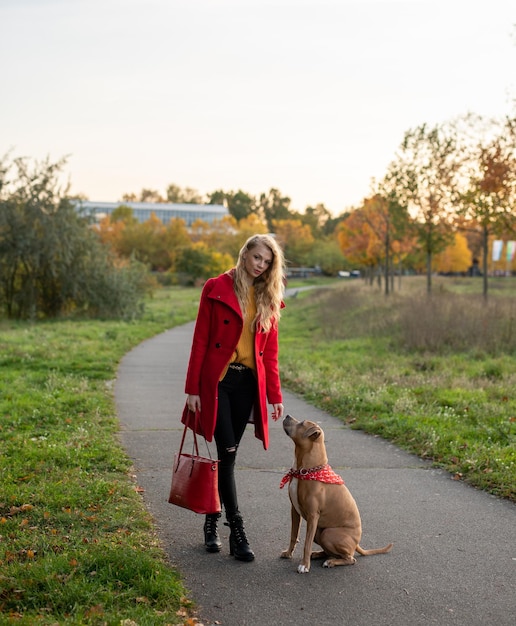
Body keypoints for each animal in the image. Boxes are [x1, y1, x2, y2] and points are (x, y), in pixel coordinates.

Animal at [280, 414, 394, 572]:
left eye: (302, 423)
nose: (287, 415)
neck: (305, 470)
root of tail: (356, 544)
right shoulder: (294, 511)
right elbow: (293, 535)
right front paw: (288, 553)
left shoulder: (313, 516)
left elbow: (306, 544)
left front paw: (304, 565)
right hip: (319, 532)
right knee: (331, 552)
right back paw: (319, 555)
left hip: (328, 533)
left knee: (350, 558)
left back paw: (331, 562)